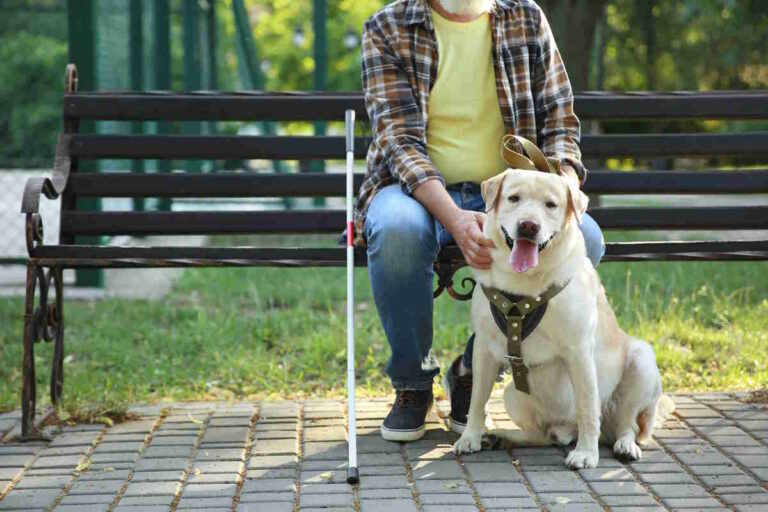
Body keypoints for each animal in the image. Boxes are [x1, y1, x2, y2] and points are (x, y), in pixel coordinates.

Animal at [452, 171, 676, 468]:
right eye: (514, 198)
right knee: (542, 434)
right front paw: (471, 437)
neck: (524, 283)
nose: (528, 226)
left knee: (627, 425)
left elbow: (587, 407)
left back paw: (624, 445)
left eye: (551, 204)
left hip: (642, 361)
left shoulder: (578, 351)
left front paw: (586, 453)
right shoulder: (485, 349)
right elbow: (477, 399)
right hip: (513, 394)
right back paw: (500, 437)